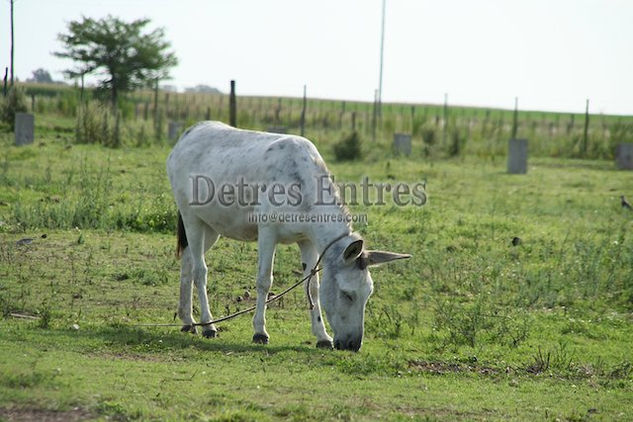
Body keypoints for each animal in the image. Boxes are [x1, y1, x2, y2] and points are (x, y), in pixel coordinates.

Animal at [165, 122, 408, 352]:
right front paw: (260, 332)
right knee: (200, 270)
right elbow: (264, 280)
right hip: (191, 217)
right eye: (347, 294)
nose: (353, 345)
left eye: (368, 294)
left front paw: (322, 337)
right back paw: (208, 325)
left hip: (212, 226)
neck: (303, 189)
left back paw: (188, 321)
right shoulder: (267, 230)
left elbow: (313, 287)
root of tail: (184, 138)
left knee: (187, 261)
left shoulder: (307, 240)